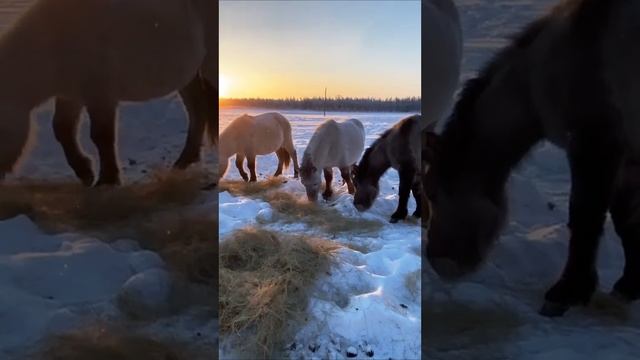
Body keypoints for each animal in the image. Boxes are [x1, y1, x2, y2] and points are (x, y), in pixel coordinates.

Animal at [0, 0, 218, 186]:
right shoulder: (72, 95)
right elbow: (63, 129)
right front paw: (85, 173)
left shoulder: (101, 96)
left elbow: (101, 135)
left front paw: (107, 180)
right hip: (188, 76)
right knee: (197, 111)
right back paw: (183, 163)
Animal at [424, 0, 640, 316]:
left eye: (433, 193)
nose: (438, 262)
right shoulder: (626, 154)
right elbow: (625, 218)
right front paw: (629, 284)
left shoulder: (595, 143)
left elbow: (585, 216)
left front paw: (567, 292)